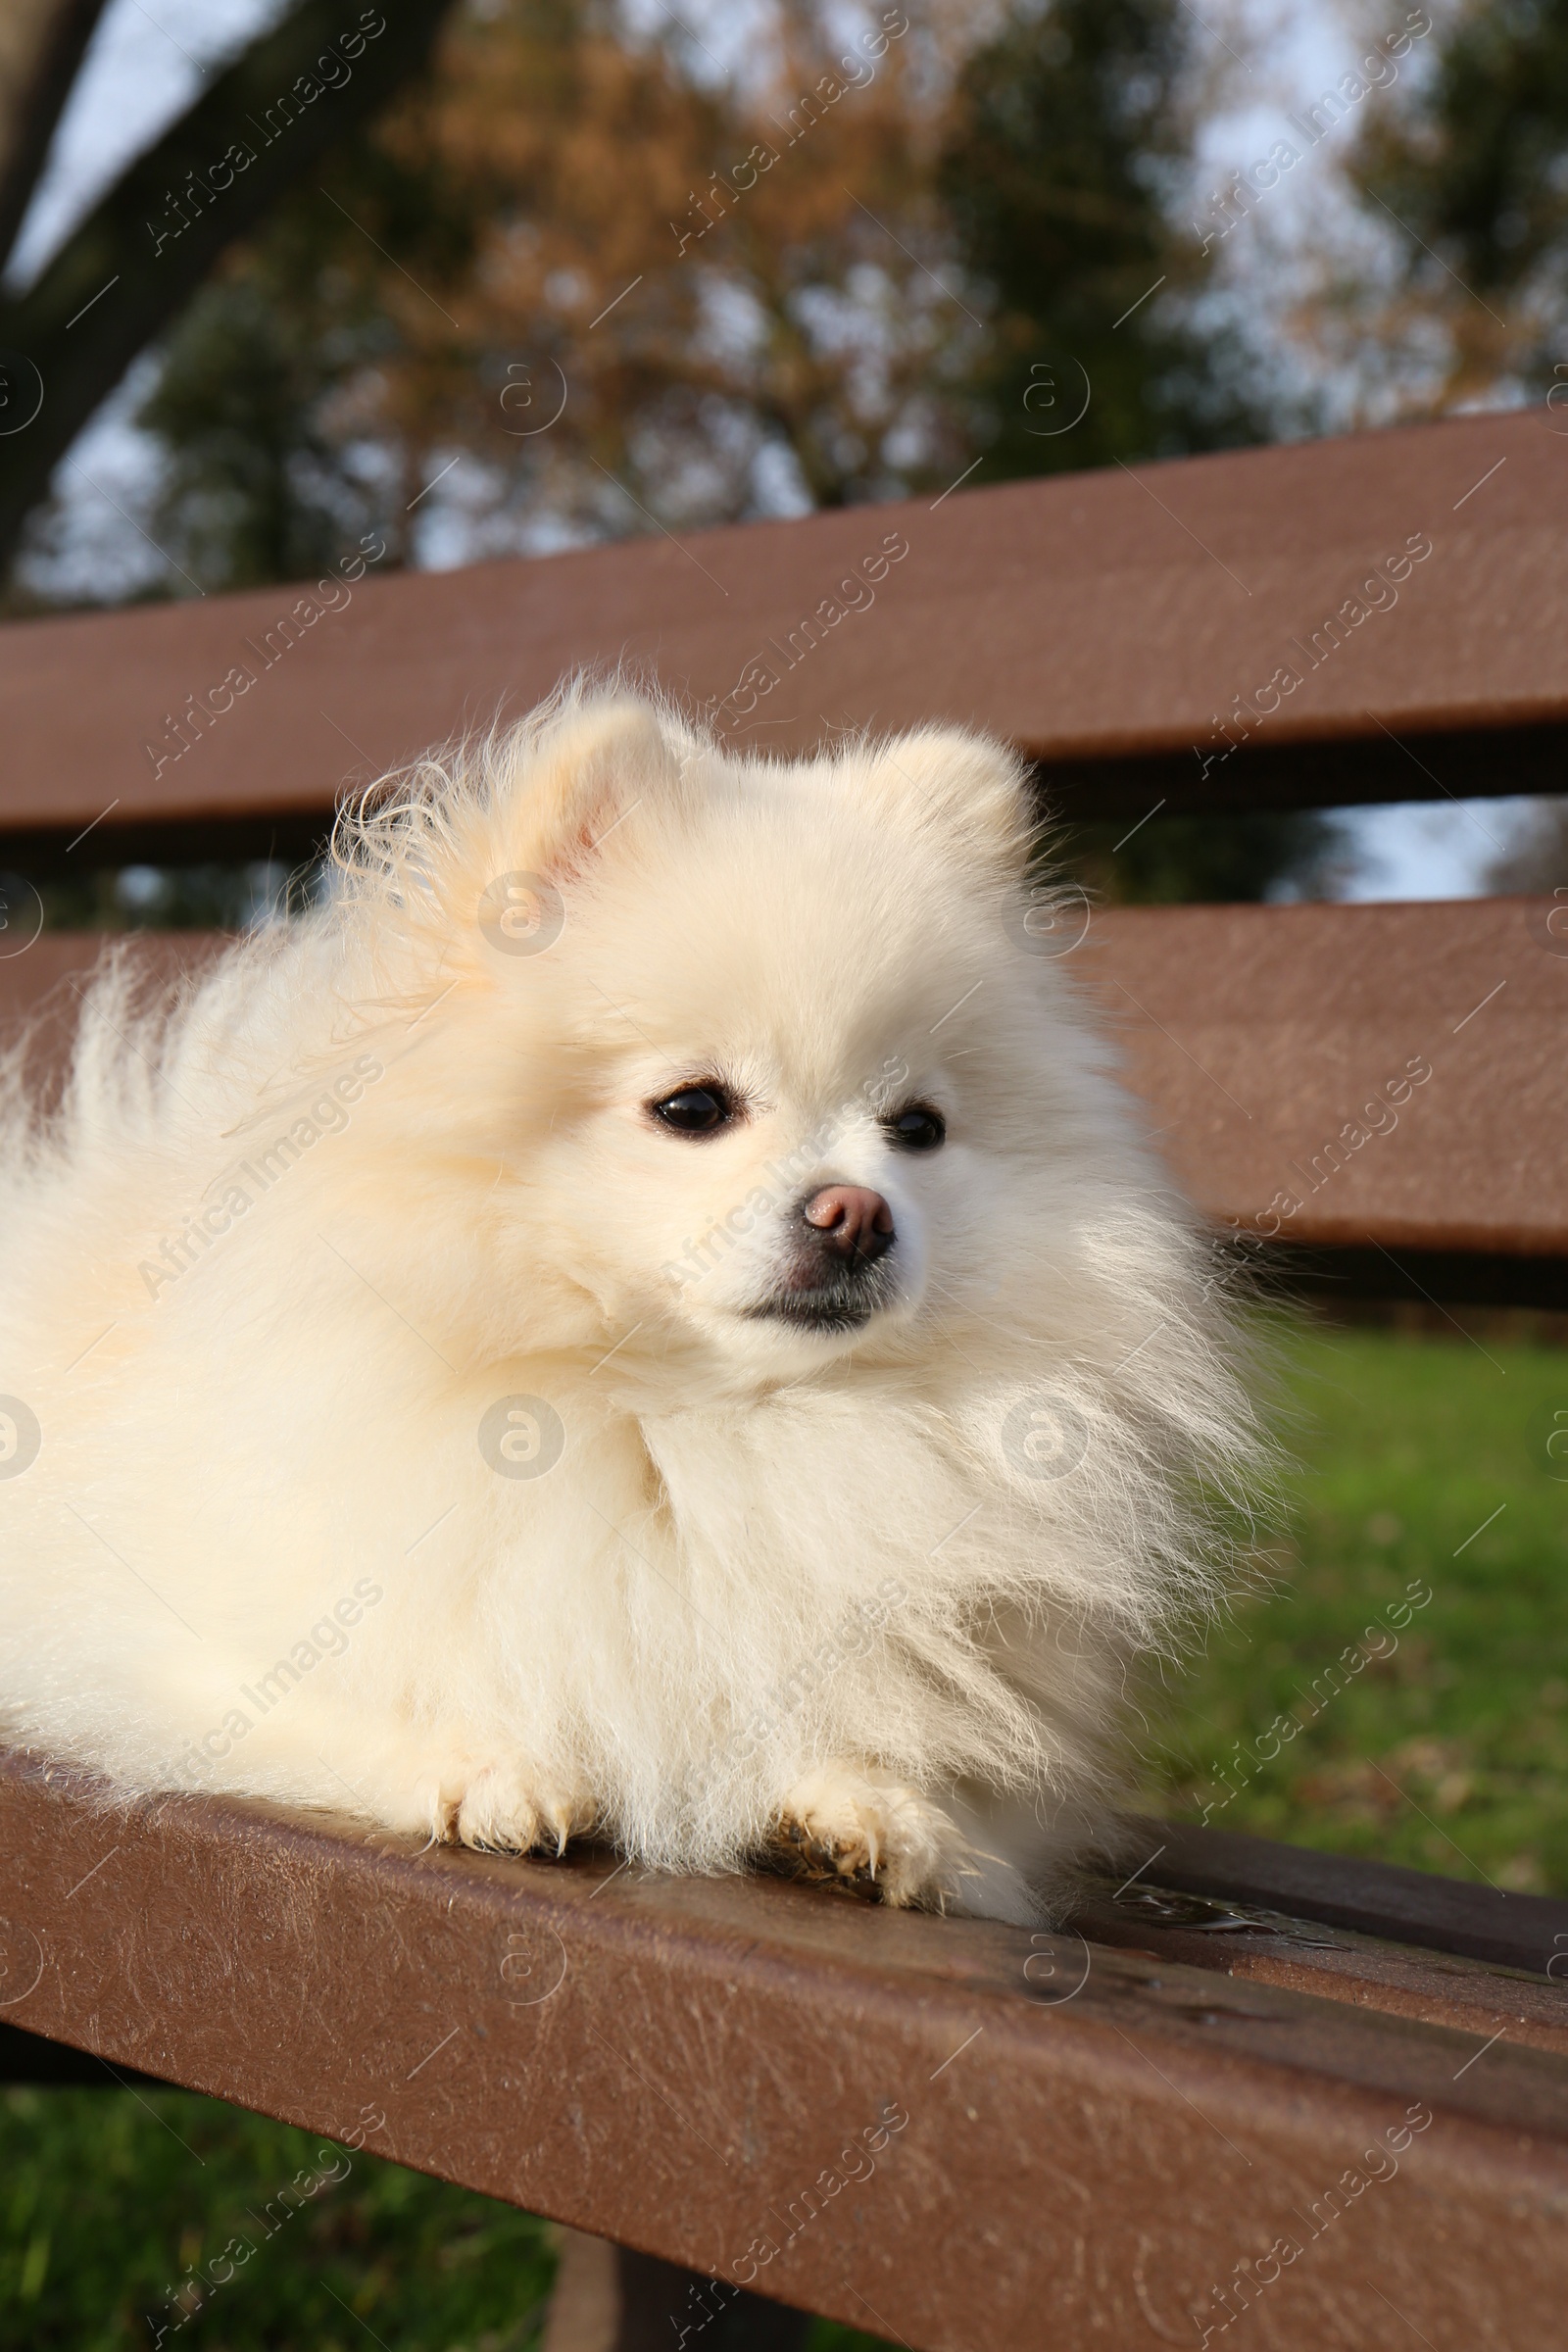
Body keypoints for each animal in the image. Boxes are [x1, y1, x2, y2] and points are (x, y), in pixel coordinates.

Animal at [0, 677, 1259, 1909]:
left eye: (916, 1129)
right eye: (693, 1108)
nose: (856, 1213)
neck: (696, 1423)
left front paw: (870, 1810)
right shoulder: (169, 1654)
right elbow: (343, 1701)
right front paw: (487, 1763)